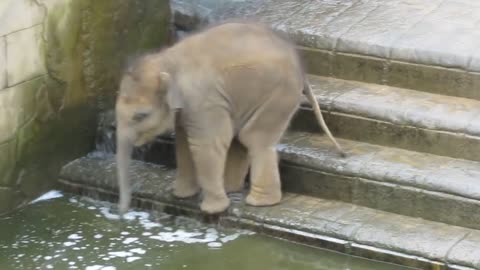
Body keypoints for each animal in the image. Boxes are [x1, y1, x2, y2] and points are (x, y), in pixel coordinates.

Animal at [114, 20, 344, 215]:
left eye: (140, 116)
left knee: (254, 139)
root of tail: (302, 72)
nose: (122, 213)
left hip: (279, 95)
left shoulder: (204, 100)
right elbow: (183, 142)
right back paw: (231, 188)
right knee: (241, 138)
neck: (166, 60)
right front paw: (181, 195)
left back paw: (259, 202)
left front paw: (212, 210)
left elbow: (206, 144)